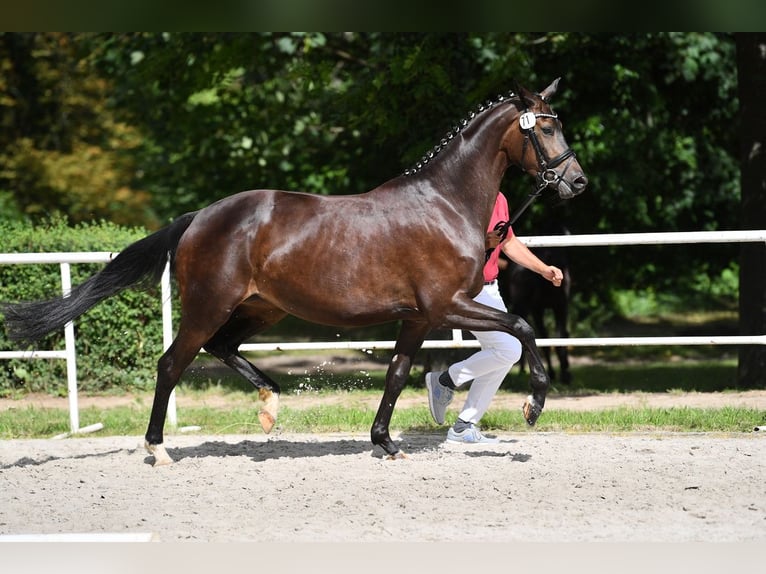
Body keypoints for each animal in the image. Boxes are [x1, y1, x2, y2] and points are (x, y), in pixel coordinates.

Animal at [3, 79, 588, 466]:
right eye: (547, 127)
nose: (577, 182)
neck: (443, 203)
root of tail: (199, 217)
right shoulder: (446, 306)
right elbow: (522, 328)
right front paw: (534, 404)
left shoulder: (418, 318)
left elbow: (398, 374)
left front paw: (384, 442)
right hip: (210, 306)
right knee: (172, 364)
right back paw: (158, 449)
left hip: (260, 308)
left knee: (221, 348)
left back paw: (269, 404)